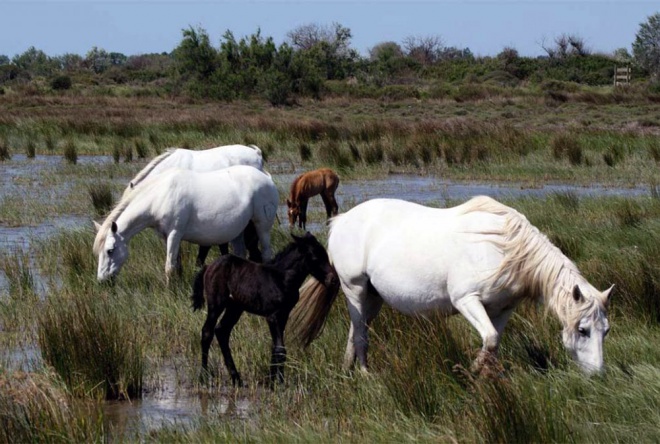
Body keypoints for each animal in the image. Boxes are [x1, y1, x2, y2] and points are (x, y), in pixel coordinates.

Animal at [93, 165, 278, 282]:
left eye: (110, 251)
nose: (102, 281)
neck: (160, 195)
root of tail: (267, 178)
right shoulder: (167, 236)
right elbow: (176, 264)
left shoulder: (175, 234)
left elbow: (169, 267)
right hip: (239, 231)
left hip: (262, 227)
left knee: (266, 254)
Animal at [189, 232, 336, 386]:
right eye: (314, 257)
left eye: (325, 255)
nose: (332, 280)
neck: (281, 278)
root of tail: (208, 266)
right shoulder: (272, 316)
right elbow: (280, 349)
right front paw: (278, 384)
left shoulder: (284, 314)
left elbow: (276, 347)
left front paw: (273, 381)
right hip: (216, 304)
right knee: (207, 332)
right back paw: (204, 376)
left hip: (235, 308)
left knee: (222, 331)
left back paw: (236, 378)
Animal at [292, 198, 616, 374]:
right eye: (582, 330)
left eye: (606, 331)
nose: (597, 374)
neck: (505, 249)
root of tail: (341, 220)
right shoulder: (466, 300)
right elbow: (490, 340)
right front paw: (468, 373)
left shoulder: (502, 310)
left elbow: (492, 343)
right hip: (355, 289)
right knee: (360, 334)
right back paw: (364, 374)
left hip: (372, 297)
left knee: (356, 330)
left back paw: (348, 370)